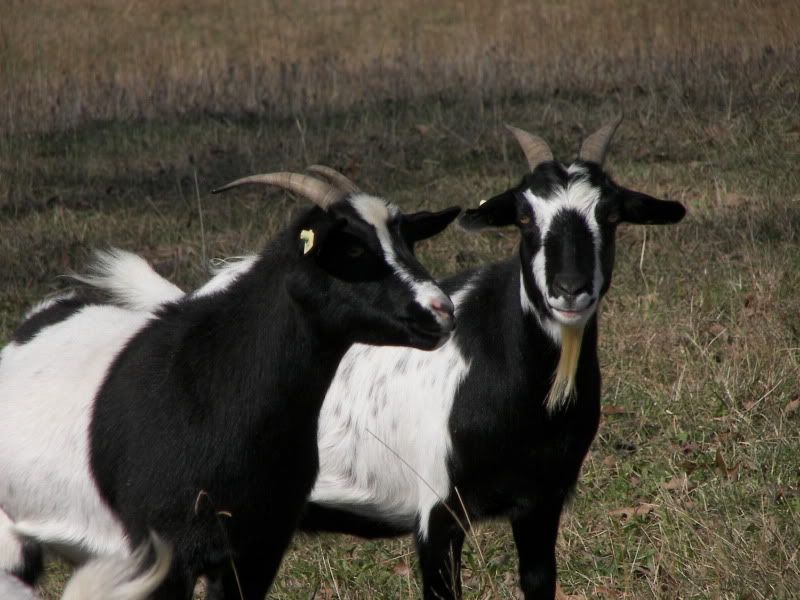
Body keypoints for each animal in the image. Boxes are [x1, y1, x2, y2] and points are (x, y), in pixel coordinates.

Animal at [0, 171, 460, 599]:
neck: (209, 391)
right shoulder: (164, 557)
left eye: (407, 244)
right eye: (352, 249)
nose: (442, 310)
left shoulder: (258, 549)